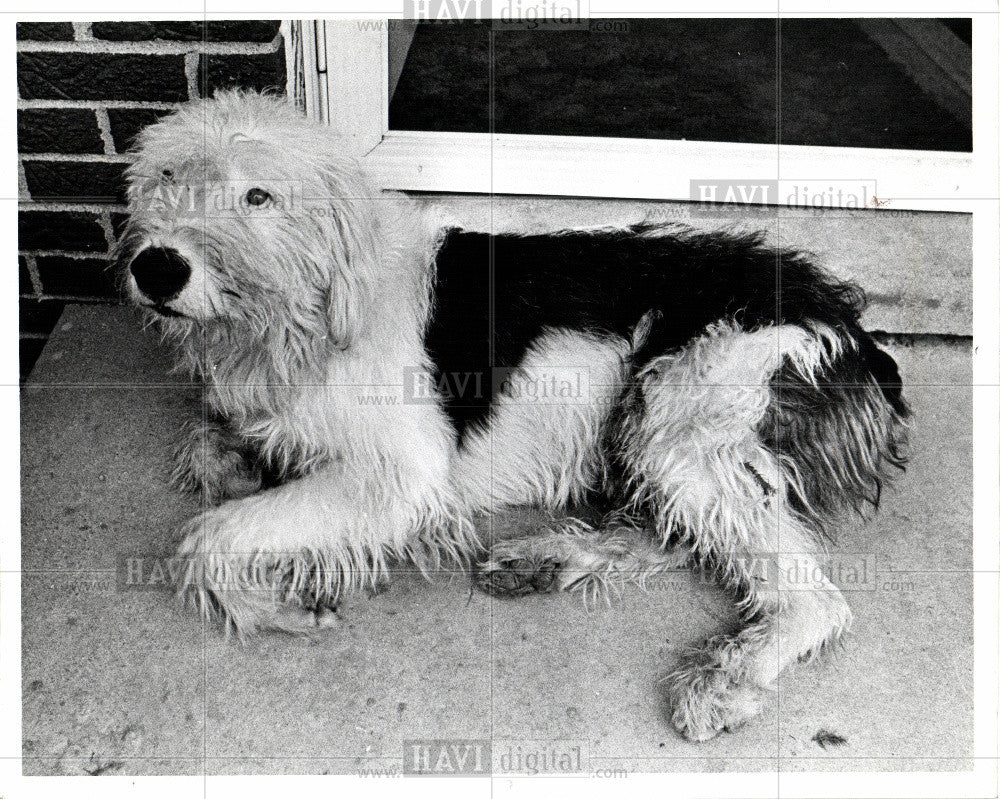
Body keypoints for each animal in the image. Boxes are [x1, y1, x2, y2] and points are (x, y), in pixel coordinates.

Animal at [115, 92, 908, 744]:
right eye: (166, 177)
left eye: (259, 195)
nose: (156, 268)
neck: (317, 304)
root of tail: (852, 328)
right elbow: (206, 445)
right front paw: (241, 463)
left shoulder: (401, 475)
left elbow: (209, 537)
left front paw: (274, 605)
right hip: (658, 435)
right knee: (679, 531)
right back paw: (549, 560)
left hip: (681, 412)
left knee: (807, 595)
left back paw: (723, 679)